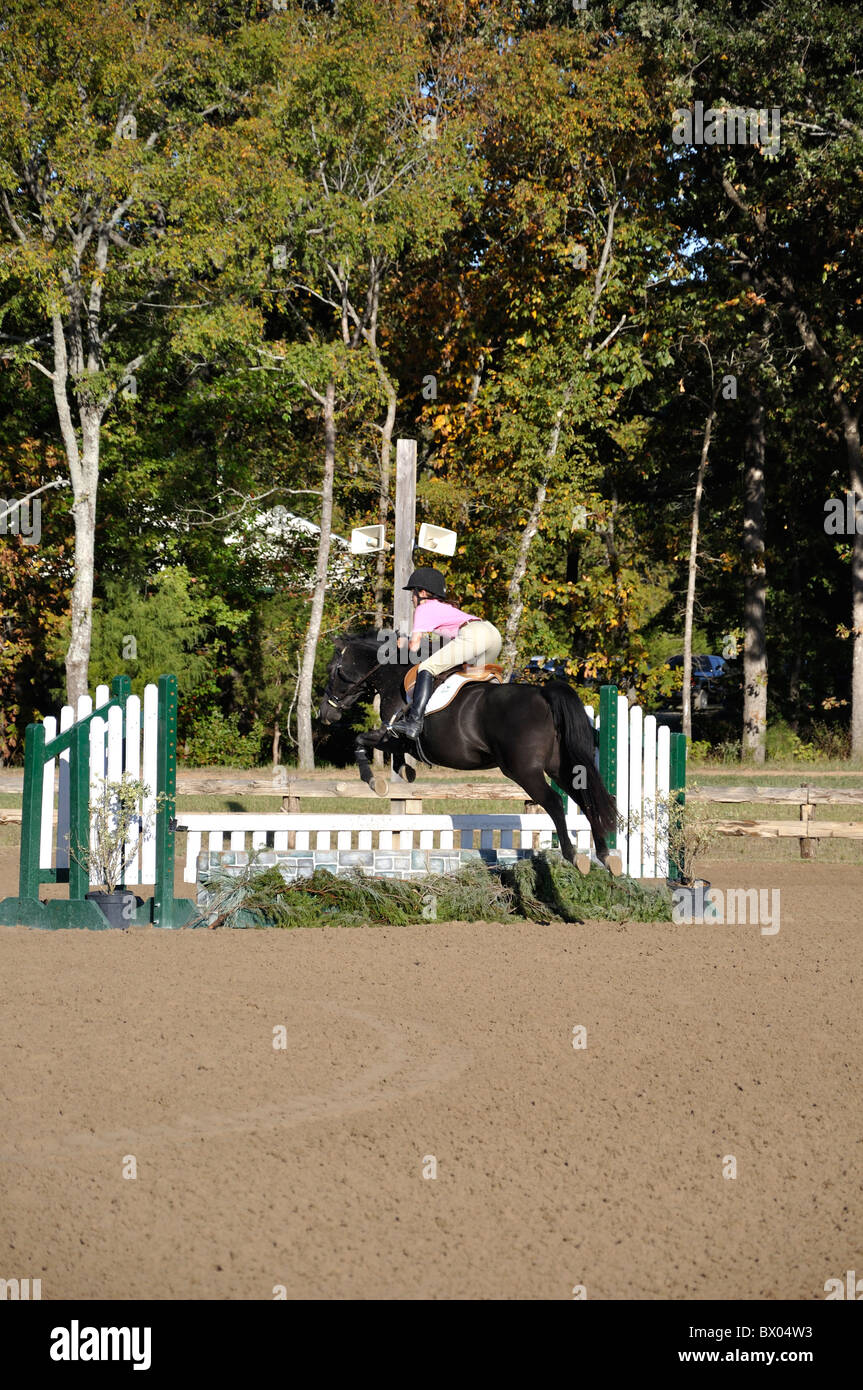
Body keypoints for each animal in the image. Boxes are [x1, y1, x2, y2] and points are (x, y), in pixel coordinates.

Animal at [318, 636, 619, 872]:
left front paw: (373, 780)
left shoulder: (393, 733)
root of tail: (543, 695)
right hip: (559, 766)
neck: (393, 677)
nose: (325, 715)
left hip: (523, 770)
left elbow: (360, 739)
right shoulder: (399, 741)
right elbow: (388, 751)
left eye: (333, 670)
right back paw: (605, 855)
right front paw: (405, 770)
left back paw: (573, 855)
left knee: (555, 801)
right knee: (584, 796)